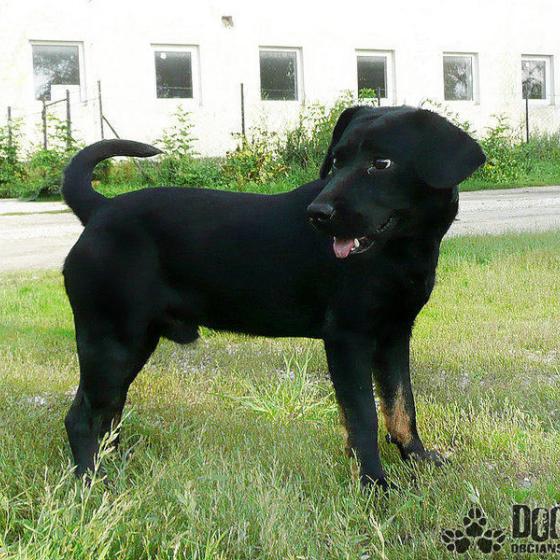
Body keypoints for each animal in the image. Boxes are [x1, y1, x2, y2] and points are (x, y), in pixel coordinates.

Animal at [62, 105, 485, 489]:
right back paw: (91, 483)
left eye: (381, 163)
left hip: (133, 341)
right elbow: (363, 415)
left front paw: (417, 457)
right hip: (111, 340)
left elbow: (401, 405)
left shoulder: (395, 334)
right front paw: (374, 483)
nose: (318, 213)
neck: (401, 249)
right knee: (82, 417)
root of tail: (100, 210)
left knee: (109, 412)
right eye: (336, 162)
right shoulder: (348, 337)